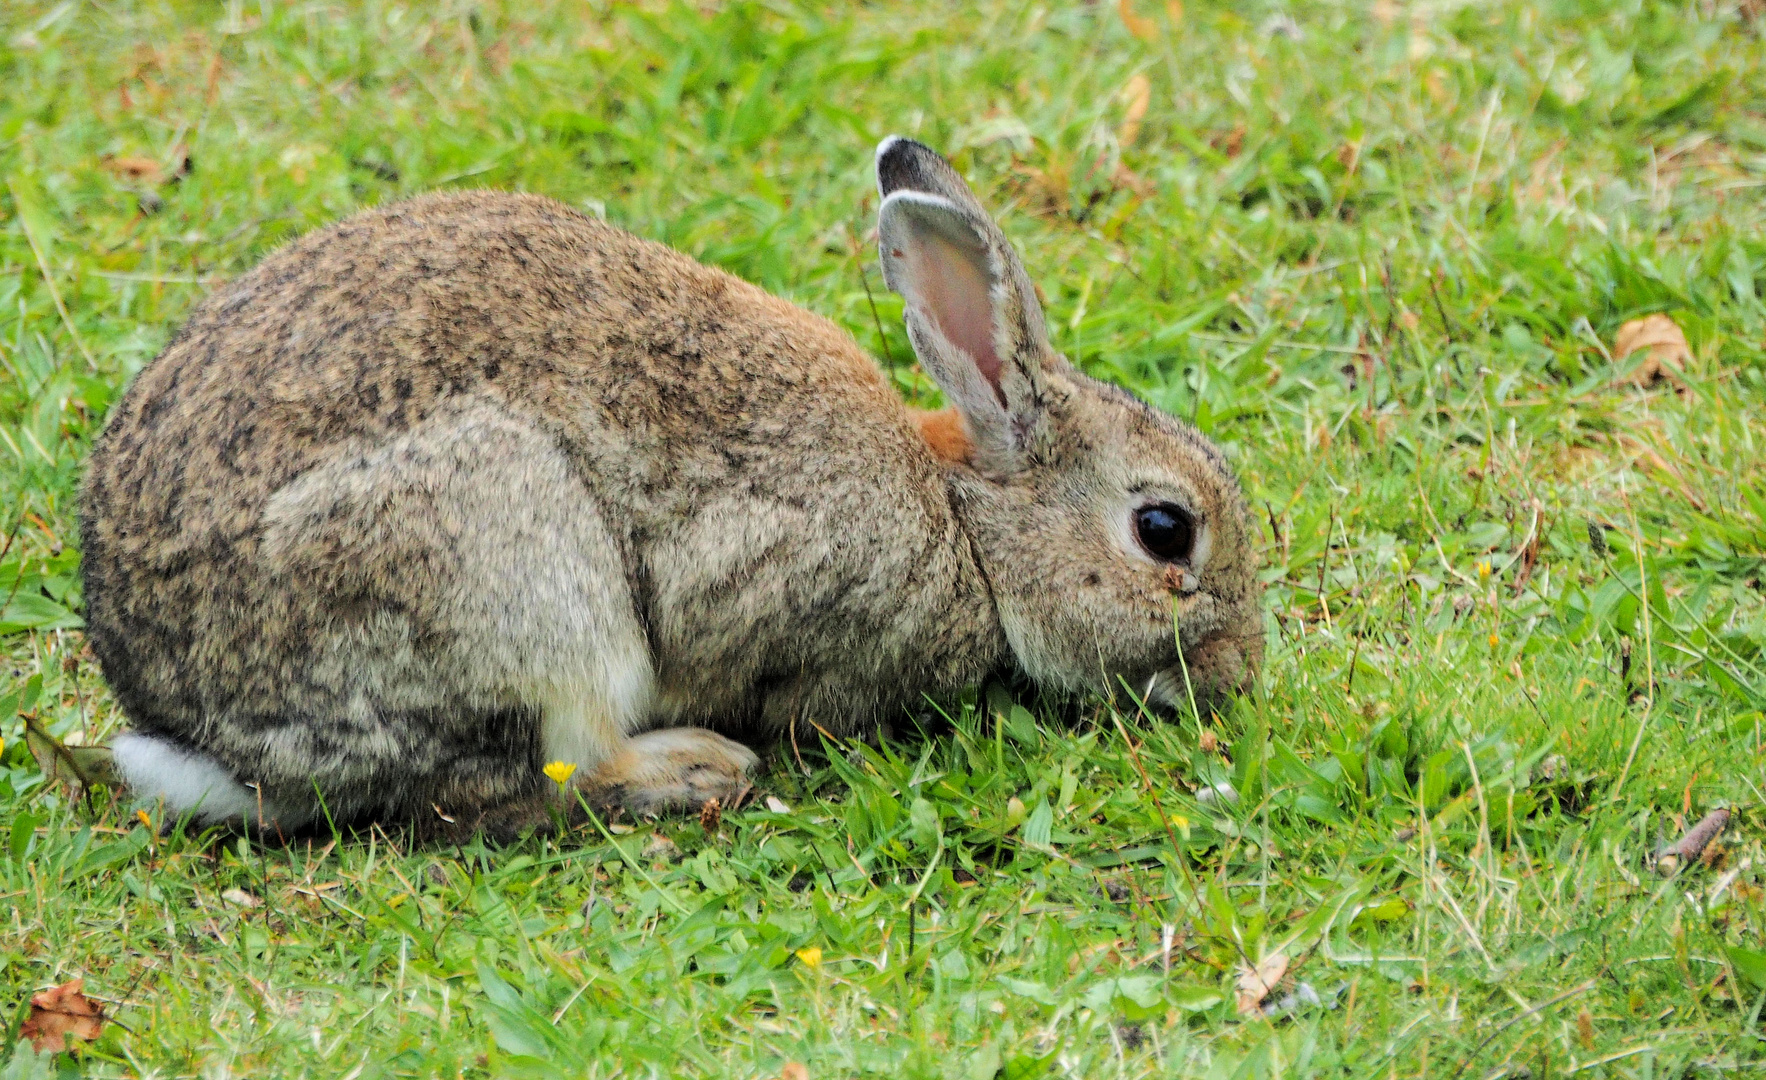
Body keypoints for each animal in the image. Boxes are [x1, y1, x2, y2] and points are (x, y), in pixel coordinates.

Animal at [83, 136, 1264, 843]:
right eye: (1166, 531)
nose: (1239, 676)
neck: (966, 520)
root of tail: (208, 737)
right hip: (506, 553)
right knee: (547, 769)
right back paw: (694, 768)